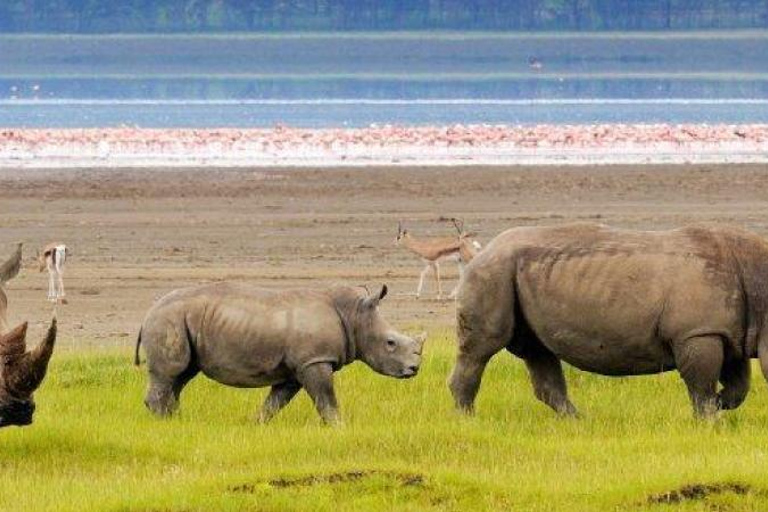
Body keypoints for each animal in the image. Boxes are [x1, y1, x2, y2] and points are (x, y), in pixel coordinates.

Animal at [135, 282, 424, 423]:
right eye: (390, 343)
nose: (414, 369)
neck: (353, 315)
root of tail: (147, 314)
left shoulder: (297, 368)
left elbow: (275, 403)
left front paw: (256, 424)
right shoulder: (314, 360)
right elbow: (326, 400)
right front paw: (340, 428)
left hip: (181, 320)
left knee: (181, 376)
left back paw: (177, 422)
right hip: (168, 320)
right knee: (169, 375)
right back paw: (166, 424)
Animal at [449, 223, 768, 419]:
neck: (759, 281)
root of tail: (482, 251)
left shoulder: (730, 333)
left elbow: (739, 386)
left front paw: (720, 404)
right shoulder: (697, 332)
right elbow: (701, 384)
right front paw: (709, 421)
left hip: (516, 274)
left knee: (538, 351)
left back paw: (578, 422)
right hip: (492, 273)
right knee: (481, 349)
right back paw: (469, 420)